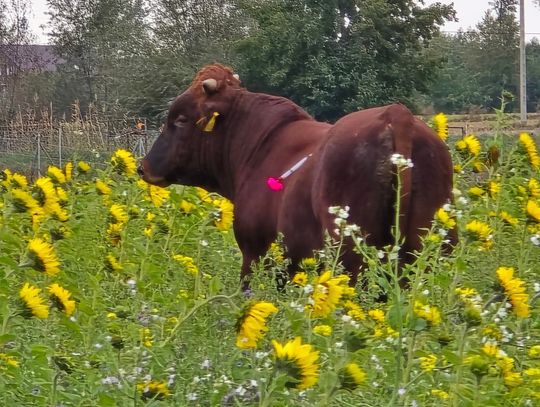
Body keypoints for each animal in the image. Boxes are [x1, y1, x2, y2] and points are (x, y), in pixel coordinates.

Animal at [140, 63, 456, 290]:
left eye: (180, 119)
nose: (144, 167)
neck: (257, 145)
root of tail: (396, 114)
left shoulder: (255, 255)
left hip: (352, 259)